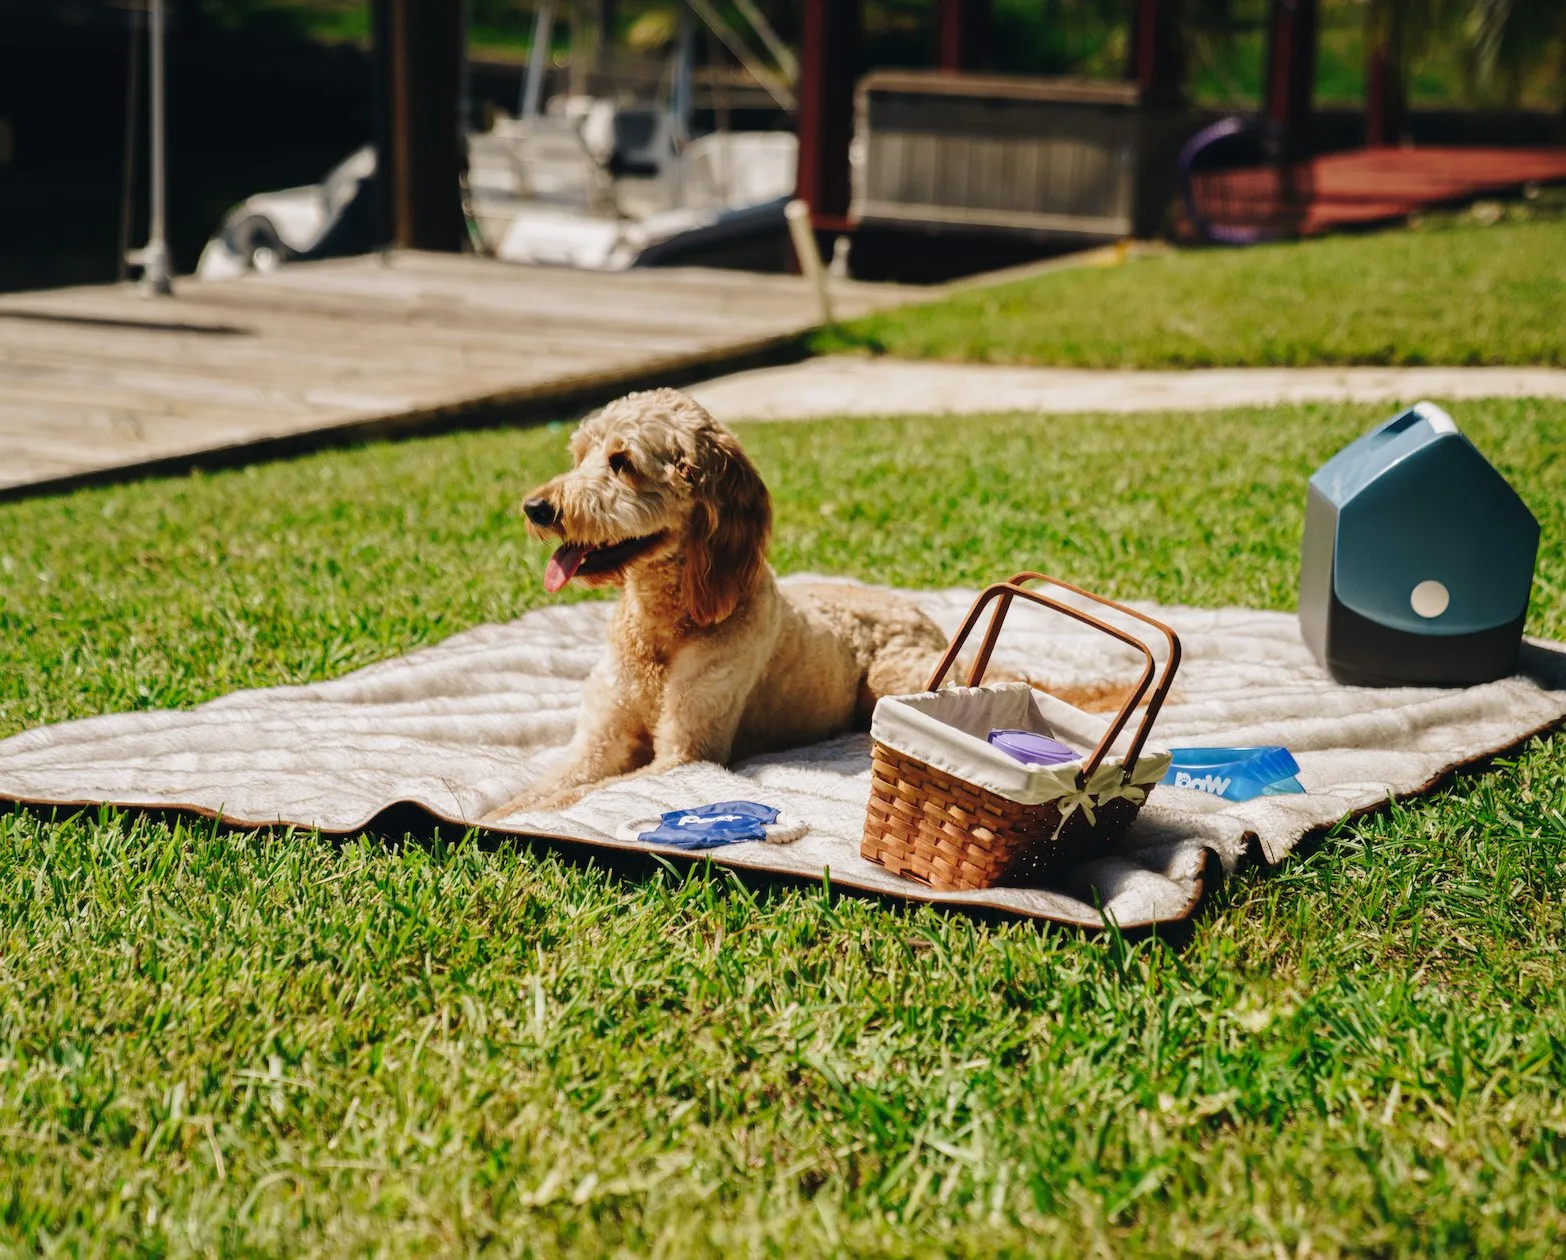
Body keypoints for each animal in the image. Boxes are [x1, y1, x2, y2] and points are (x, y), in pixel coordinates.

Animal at [488, 386, 945, 813]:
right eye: (580, 456)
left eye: (623, 462)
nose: (535, 508)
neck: (661, 628)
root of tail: (920, 613)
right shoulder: (600, 741)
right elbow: (540, 794)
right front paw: (500, 813)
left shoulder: (685, 752)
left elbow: (573, 797)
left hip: (894, 679)